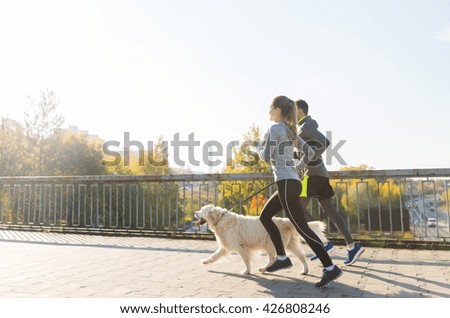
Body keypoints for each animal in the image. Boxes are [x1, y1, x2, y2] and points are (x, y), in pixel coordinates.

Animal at [193, 205, 326, 274]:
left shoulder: (240, 247)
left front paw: (246, 271)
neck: (220, 219)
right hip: (289, 245)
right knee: (301, 256)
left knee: (273, 259)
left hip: (269, 244)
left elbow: (246, 260)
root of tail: (283, 221)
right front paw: (205, 261)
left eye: (202, 210)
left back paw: (265, 268)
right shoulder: (225, 247)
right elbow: (214, 256)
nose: (194, 212)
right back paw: (304, 270)